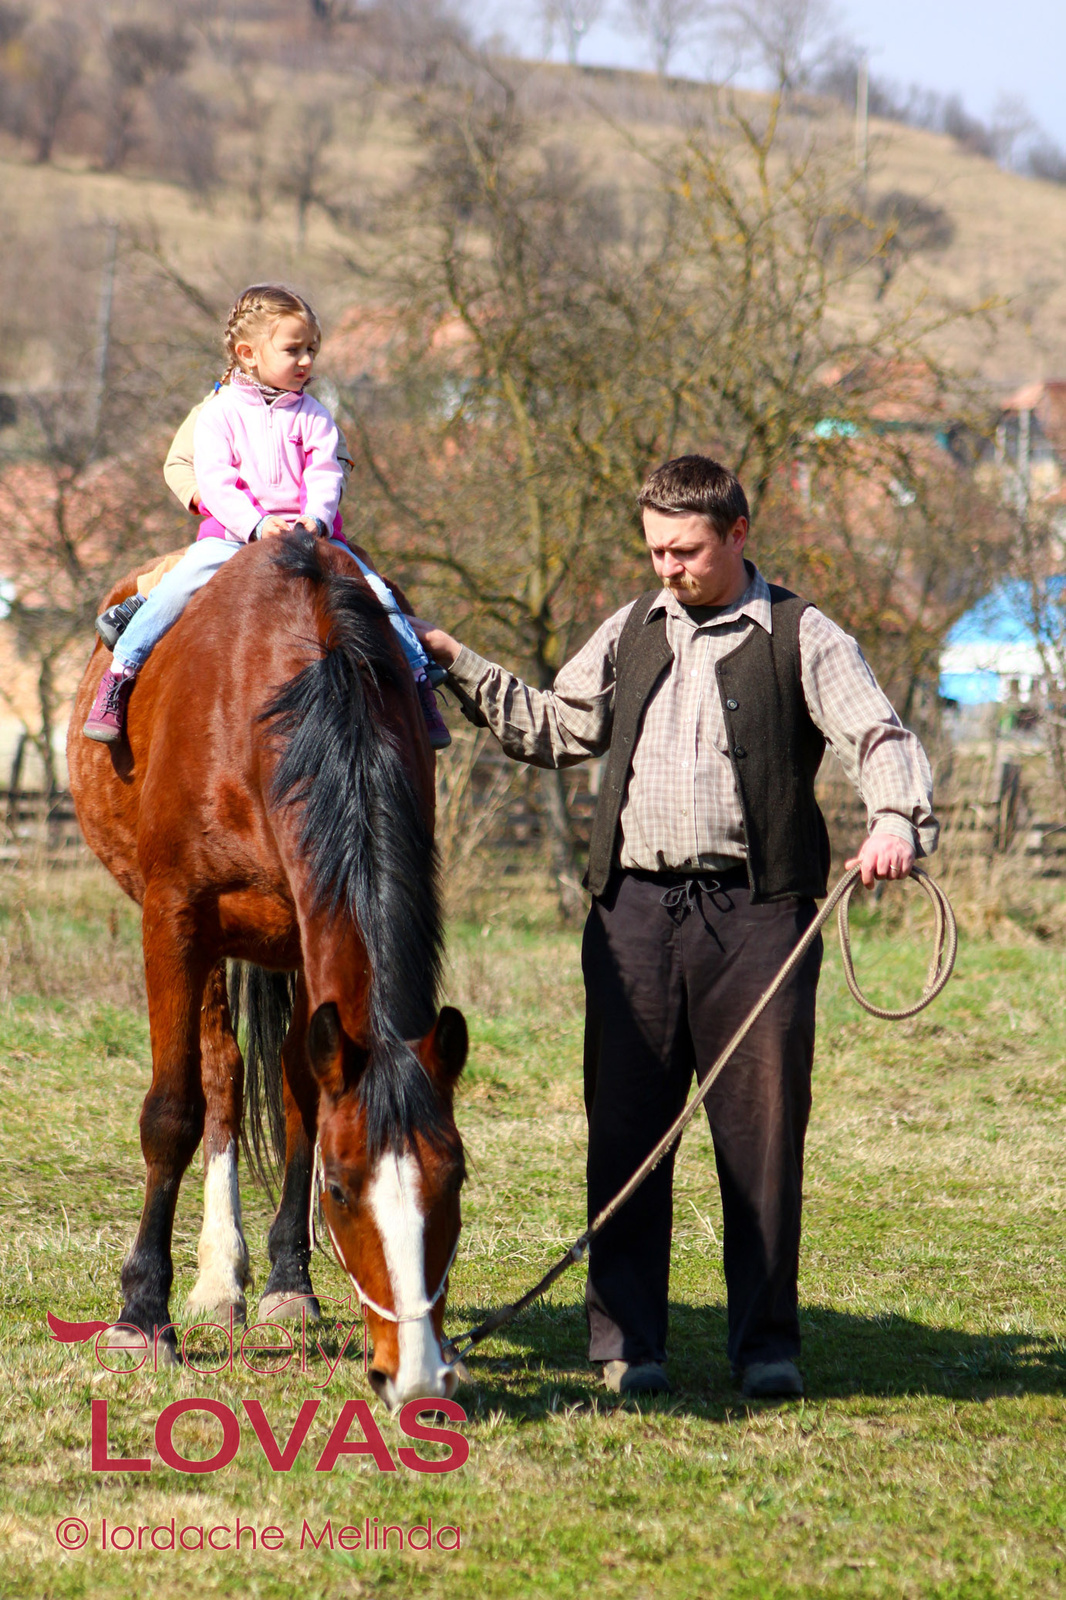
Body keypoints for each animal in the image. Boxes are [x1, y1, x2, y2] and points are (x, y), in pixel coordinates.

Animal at [66, 534, 464, 1401]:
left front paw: (292, 1284)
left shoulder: (315, 929)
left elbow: (306, 1104)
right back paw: (219, 1277)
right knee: (219, 1074)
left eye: (453, 1181)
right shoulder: (174, 918)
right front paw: (141, 1317)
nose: (418, 1375)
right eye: (341, 1191)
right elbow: (173, 1112)